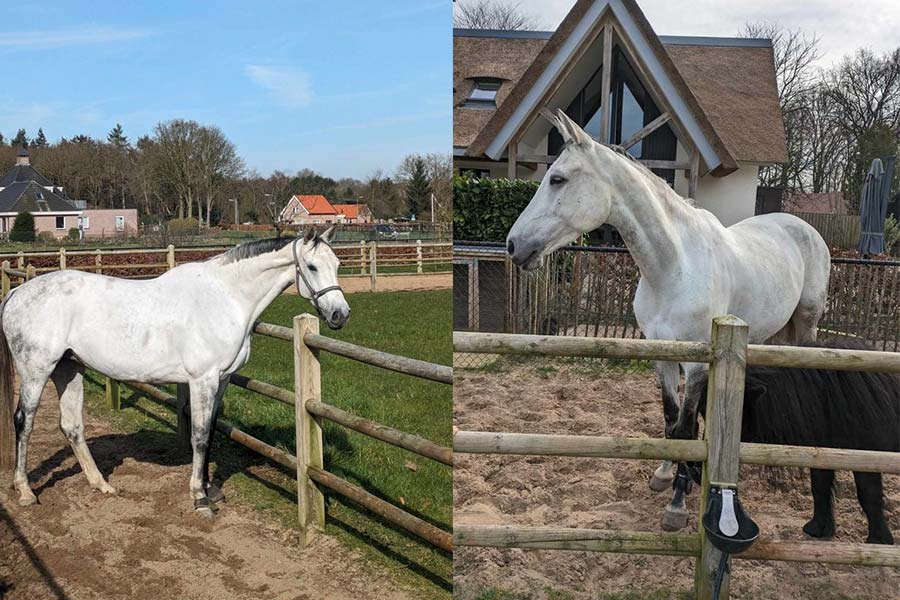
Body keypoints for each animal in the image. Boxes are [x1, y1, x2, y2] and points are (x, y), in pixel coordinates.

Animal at [0, 227, 348, 516]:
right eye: (312, 267)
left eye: (337, 264)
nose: (340, 314)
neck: (225, 298)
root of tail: (18, 293)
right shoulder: (202, 380)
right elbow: (199, 435)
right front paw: (200, 498)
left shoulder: (222, 381)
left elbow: (210, 433)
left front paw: (210, 488)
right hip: (37, 370)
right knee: (24, 421)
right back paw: (26, 491)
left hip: (69, 368)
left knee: (72, 425)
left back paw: (100, 484)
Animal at [506, 109, 828, 528]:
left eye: (557, 178)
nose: (514, 245)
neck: (674, 267)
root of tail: (802, 227)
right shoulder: (662, 355)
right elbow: (669, 418)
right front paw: (666, 474)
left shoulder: (697, 365)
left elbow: (686, 426)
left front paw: (678, 500)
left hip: (807, 323)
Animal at [696, 338, 900, 544]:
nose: (696, 470)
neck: (833, 399)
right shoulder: (824, 453)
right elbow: (819, 488)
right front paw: (818, 528)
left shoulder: (867, 458)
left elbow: (869, 495)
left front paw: (878, 540)